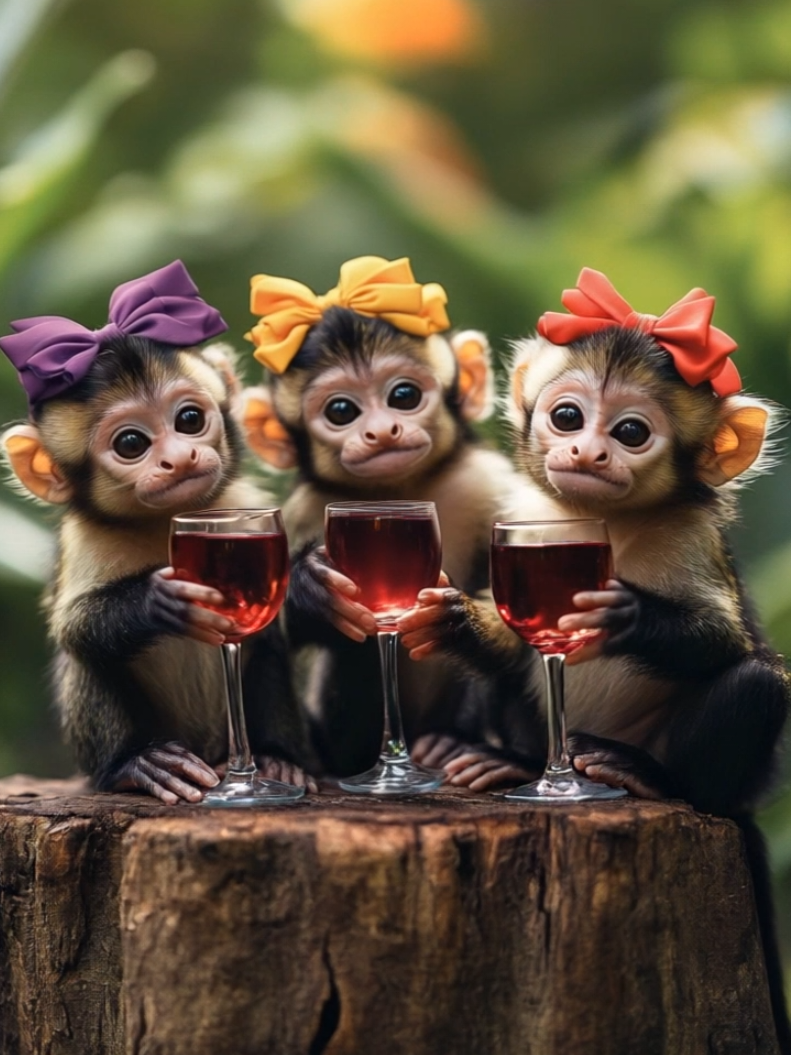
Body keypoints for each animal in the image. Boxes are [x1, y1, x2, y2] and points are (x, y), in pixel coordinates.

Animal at [0, 261, 315, 804]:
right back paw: (136, 765)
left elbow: (280, 623)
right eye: (131, 443)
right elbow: (74, 626)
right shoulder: (84, 539)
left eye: (188, 419)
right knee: (84, 659)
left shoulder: (245, 505)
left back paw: (279, 758)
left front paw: (315, 584)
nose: (179, 457)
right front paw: (159, 599)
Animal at [241, 255, 557, 778]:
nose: (382, 430)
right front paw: (311, 586)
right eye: (342, 410)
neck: (399, 494)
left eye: (404, 396)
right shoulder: (306, 508)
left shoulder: (486, 482)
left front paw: (459, 623)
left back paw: (466, 749)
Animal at [396, 267, 791, 1048]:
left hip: (725, 786)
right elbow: (515, 639)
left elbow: (727, 643)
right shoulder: (521, 522)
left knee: (757, 685)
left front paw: (621, 612)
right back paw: (504, 761)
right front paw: (453, 619)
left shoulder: (691, 538)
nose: (586, 453)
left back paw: (645, 775)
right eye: (568, 417)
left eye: (630, 431)